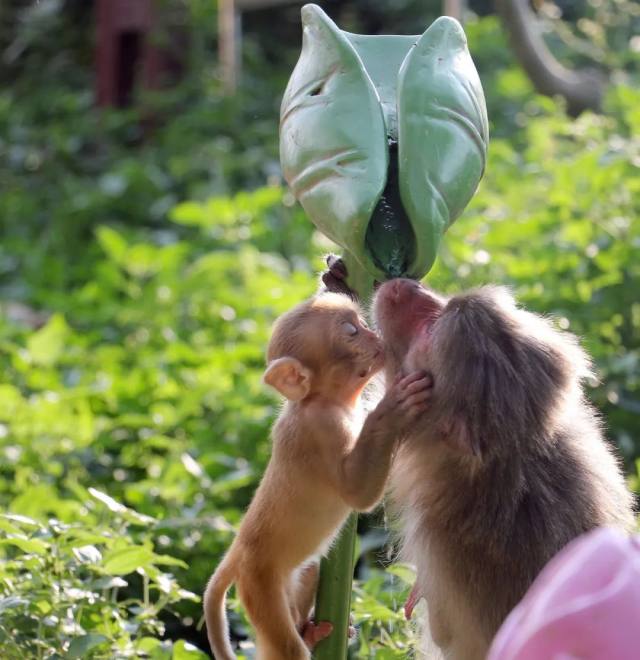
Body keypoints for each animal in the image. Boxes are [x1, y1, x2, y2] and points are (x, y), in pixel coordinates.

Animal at [204, 294, 436, 660]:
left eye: (362, 323)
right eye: (352, 331)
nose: (376, 334)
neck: (321, 401)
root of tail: (238, 550)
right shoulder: (321, 432)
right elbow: (358, 495)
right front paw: (393, 408)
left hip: (288, 580)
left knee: (308, 573)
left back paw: (310, 633)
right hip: (260, 590)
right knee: (286, 649)